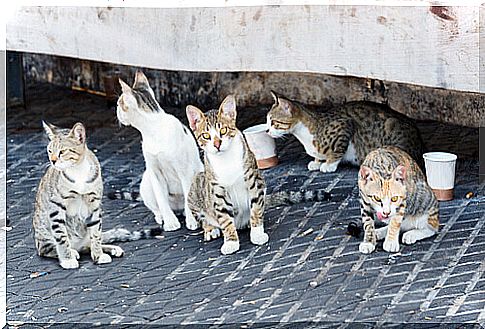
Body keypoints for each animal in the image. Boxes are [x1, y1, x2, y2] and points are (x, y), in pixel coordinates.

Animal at [32, 121, 161, 268]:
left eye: (62, 151)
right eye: (49, 151)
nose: (52, 161)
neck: (78, 170)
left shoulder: (94, 204)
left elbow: (96, 233)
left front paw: (98, 255)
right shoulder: (56, 206)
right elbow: (61, 237)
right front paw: (67, 259)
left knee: (87, 245)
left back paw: (110, 249)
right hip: (44, 235)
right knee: (48, 248)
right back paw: (72, 252)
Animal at [115, 71, 202, 231]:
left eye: (119, 103)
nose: (116, 110)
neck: (153, 129)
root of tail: (178, 207)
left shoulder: (184, 170)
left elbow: (188, 195)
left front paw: (192, 221)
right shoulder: (155, 171)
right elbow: (161, 200)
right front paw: (170, 222)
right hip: (147, 181)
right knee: (156, 206)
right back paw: (161, 216)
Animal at [185, 94, 268, 254]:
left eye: (223, 130)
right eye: (206, 135)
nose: (217, 144)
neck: (226, 160)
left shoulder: (254, 181)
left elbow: (256, 208)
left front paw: (257, 234)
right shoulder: (217, 190)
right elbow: (224, 218)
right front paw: (230, 242)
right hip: (196, 186)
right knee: (203, 217)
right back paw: (210, 228)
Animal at [264, 90, 424, 172]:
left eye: (273, 122)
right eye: (267, 121)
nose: (267, 131)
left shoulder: (344, 126)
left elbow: (337, 150)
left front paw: (329, 165)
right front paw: (316, 161)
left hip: (391, 128)